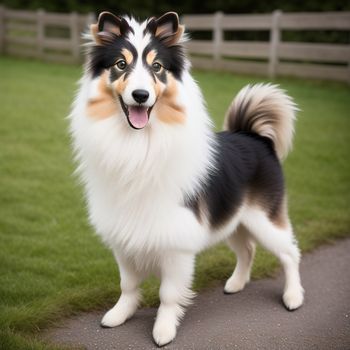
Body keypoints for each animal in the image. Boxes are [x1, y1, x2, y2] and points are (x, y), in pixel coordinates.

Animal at [69, 11, 304, 348]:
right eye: (120, 64)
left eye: (157, 67)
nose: (140, 95)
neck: (139, 143)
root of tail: (252, 135)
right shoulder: (123, 236)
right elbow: (128, 284)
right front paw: (119, 314)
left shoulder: (177, 242)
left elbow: (168, 294)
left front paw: (163, 330)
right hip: (234, 219)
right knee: (247, 250)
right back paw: (235, 284)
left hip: (264, 219)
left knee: (290, 254)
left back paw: (293, 296)